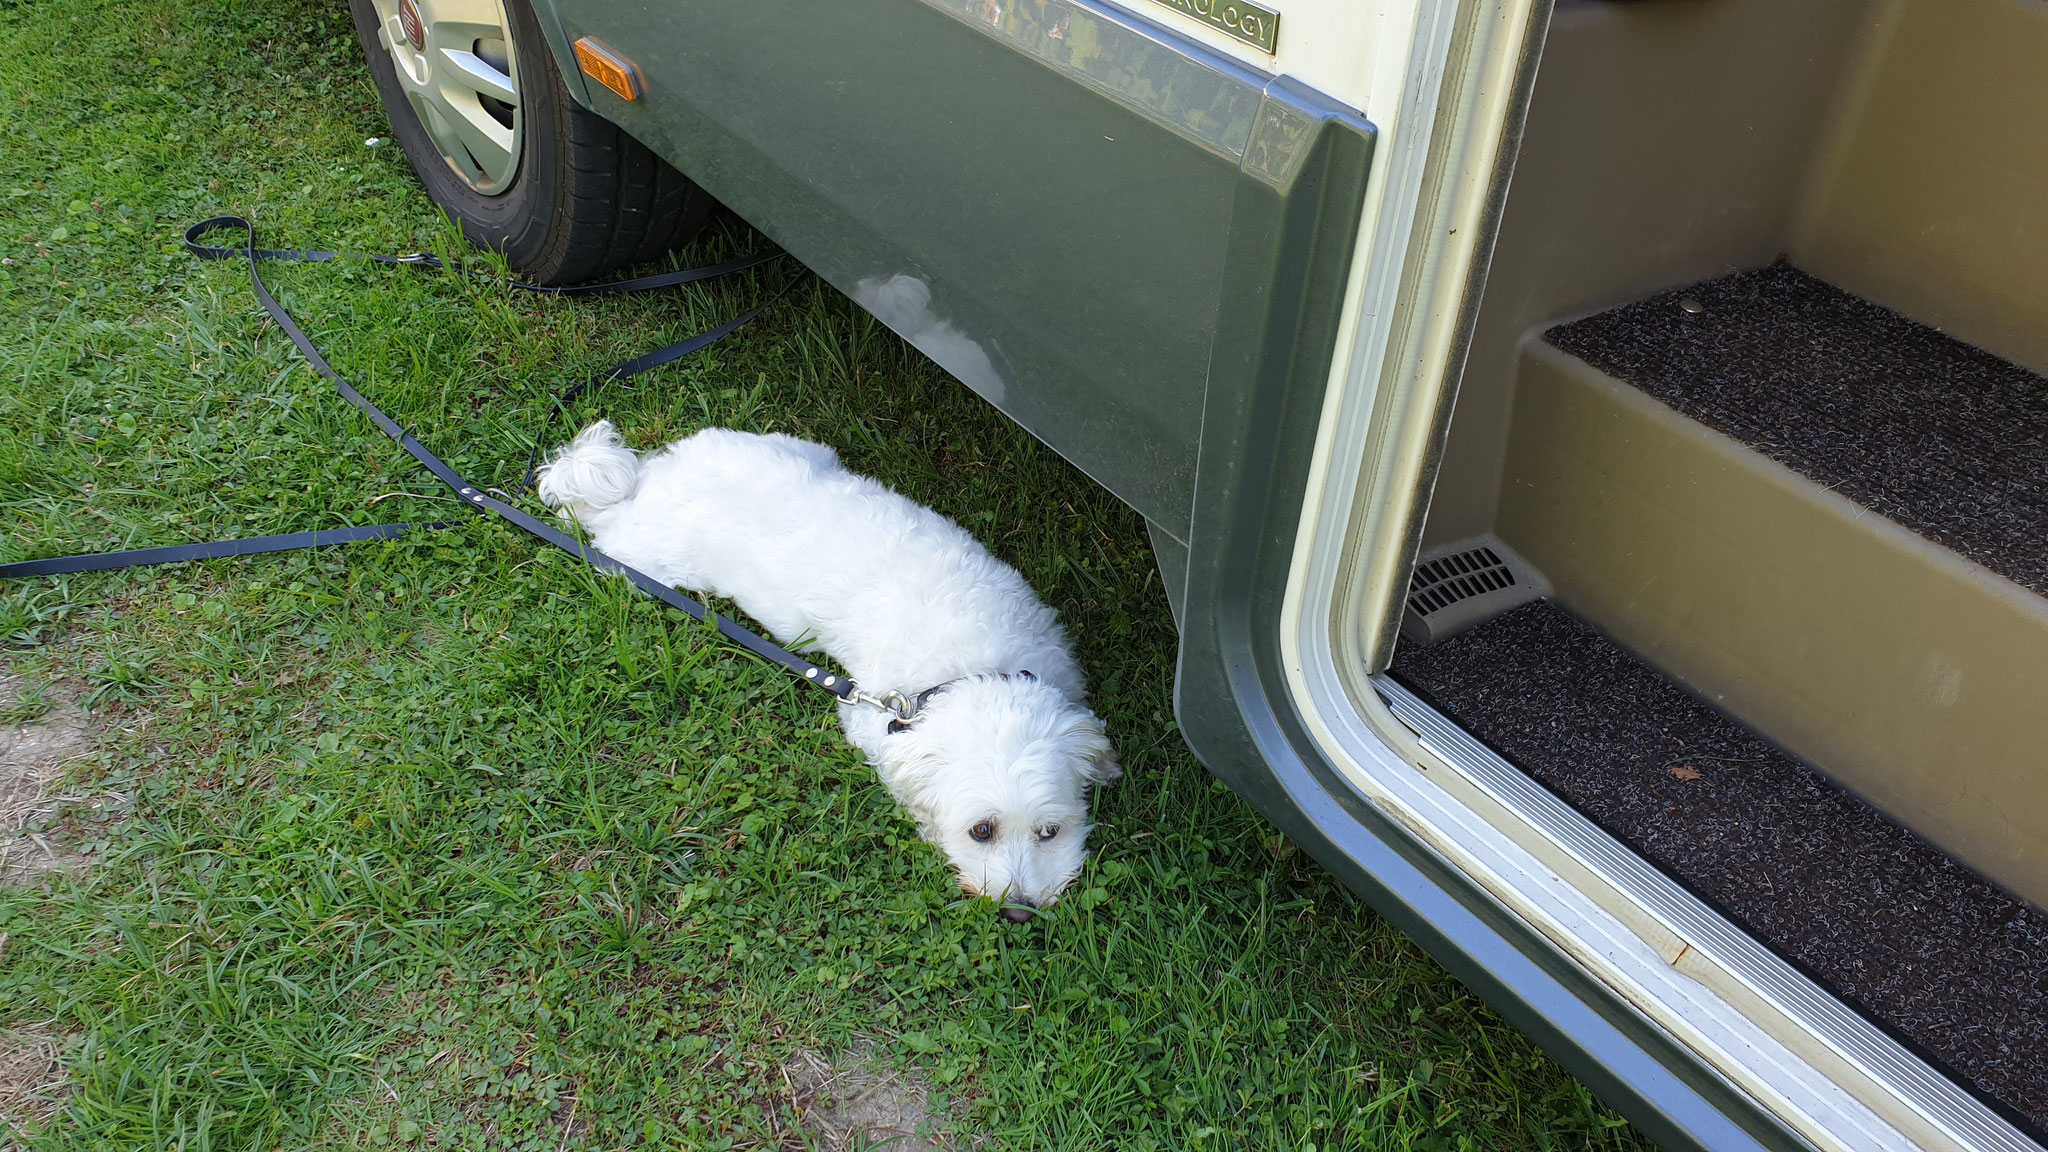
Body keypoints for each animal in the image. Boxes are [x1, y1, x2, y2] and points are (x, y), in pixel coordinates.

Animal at [536, 420, 1122, 914]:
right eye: (982, 831)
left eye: (1050, 832)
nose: (1021, 910)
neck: (980, 659)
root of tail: (646, 481)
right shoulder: (873, 720)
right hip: (639, 559)